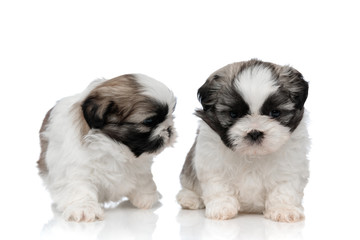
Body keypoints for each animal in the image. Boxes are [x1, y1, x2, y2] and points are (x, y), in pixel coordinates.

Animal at [37, 74, 176, 222]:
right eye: (149, 121)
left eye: (171, 115)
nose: (169, 129)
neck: (115, 148)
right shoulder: (77, 170)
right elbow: (81, 189)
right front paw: (85, 209)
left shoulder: (140, 168)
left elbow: (143, 179)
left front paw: (146, 197)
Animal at [177, 59, 310, 223]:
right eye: (234, 114)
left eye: (275, 113)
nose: (254, 132)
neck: (253, 155)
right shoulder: (212, 164)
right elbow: (219, 186)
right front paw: (221, 207)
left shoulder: (290, 166)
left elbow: (284, 188)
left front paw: (284, 209)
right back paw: (189, 198)